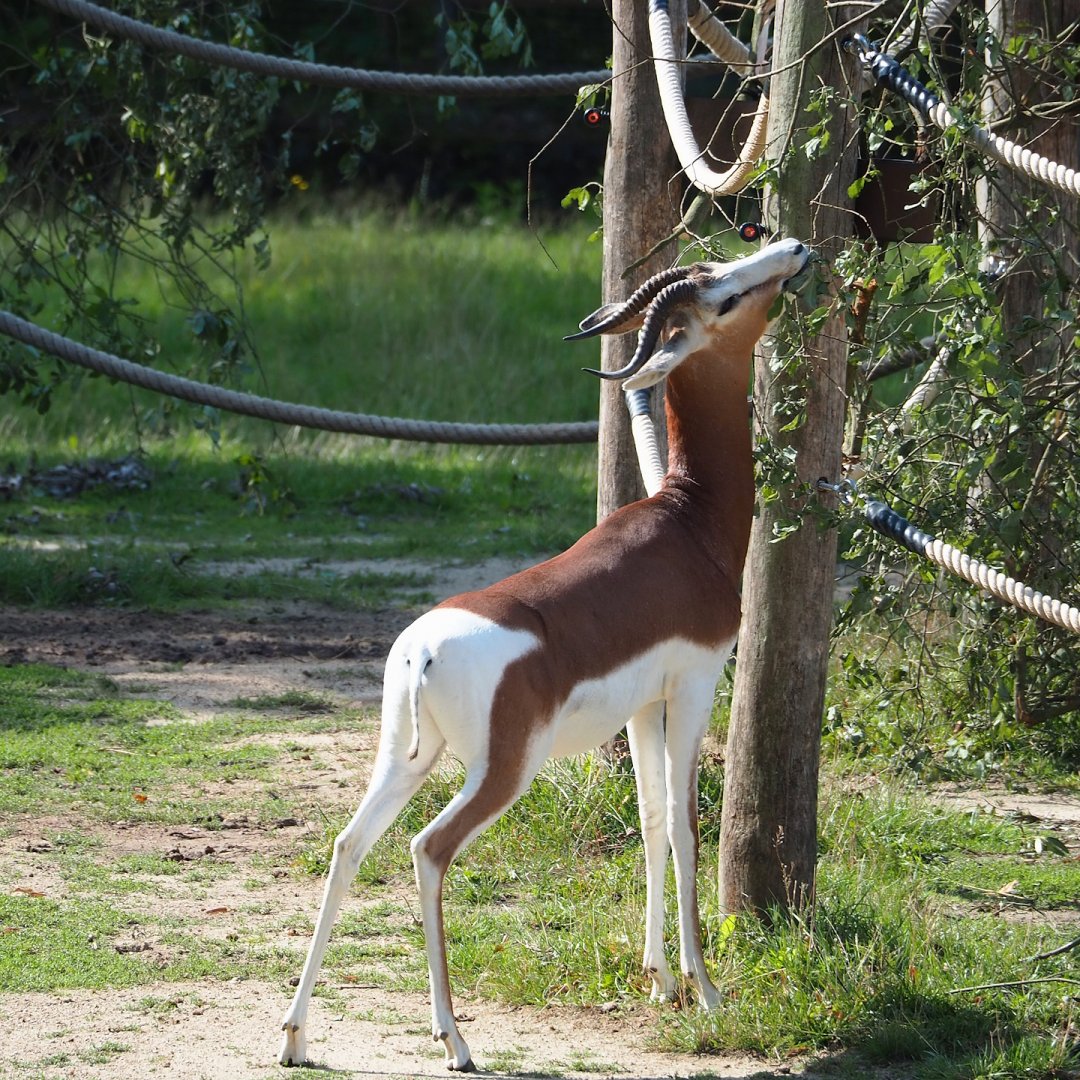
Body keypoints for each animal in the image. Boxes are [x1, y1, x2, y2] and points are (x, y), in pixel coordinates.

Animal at [279, 237, 811, 1073]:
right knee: (428, 849)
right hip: (502, 769)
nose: (793, 248)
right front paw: (708, 991)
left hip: (408, 757)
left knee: (347, 845)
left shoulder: (643, 706)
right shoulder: (695, 685)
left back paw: (297, 1036)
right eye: (722, 297)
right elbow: (687, 824)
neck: (688, 525)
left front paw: (660, 980)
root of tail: (418, 653)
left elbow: (651, 818)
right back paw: (456, 1041)